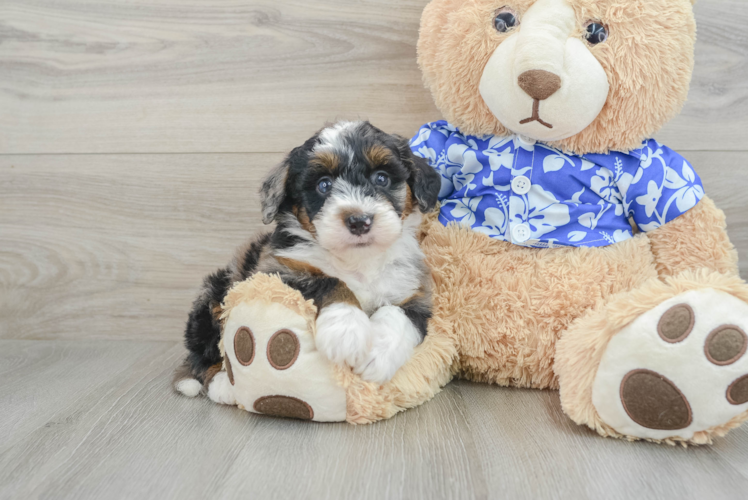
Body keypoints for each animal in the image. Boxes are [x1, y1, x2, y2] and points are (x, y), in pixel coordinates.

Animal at [175, 119, 442, 400]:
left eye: (382, 178)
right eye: (324, 185)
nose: (359, 221)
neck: (357, 260)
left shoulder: (415, 291)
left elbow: (398, 314)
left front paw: (377, 353)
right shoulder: (276, 272)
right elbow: (329, 281)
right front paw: (347, 330)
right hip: (213, 298)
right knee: (205, 352)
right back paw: (220, 385)